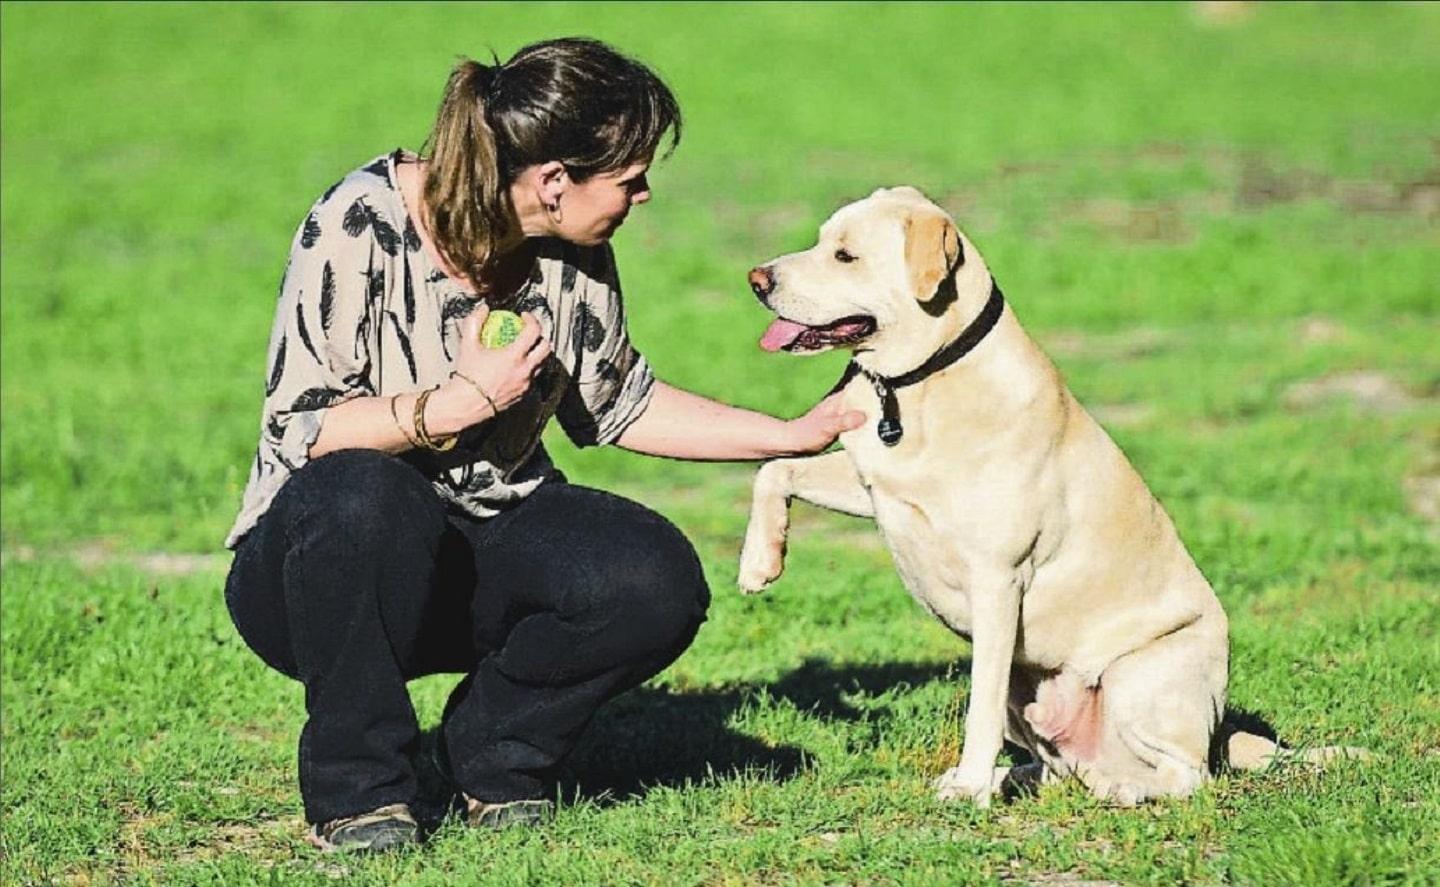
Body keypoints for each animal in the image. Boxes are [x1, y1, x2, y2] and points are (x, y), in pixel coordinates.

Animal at [743, 185, 1359, 806]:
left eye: (846, 256)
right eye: (822, 240)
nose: (756, 279)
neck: (922, 382)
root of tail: (1220, 734)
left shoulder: (997, 579)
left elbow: (980, 706)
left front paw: (969, 791)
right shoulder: (876, 486)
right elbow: (774, 468)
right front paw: (759, 564)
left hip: (1141, 676)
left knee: (1185, 775)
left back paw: (1115, 789)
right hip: (1035, 697)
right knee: (1062, 770)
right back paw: (1018, 778)